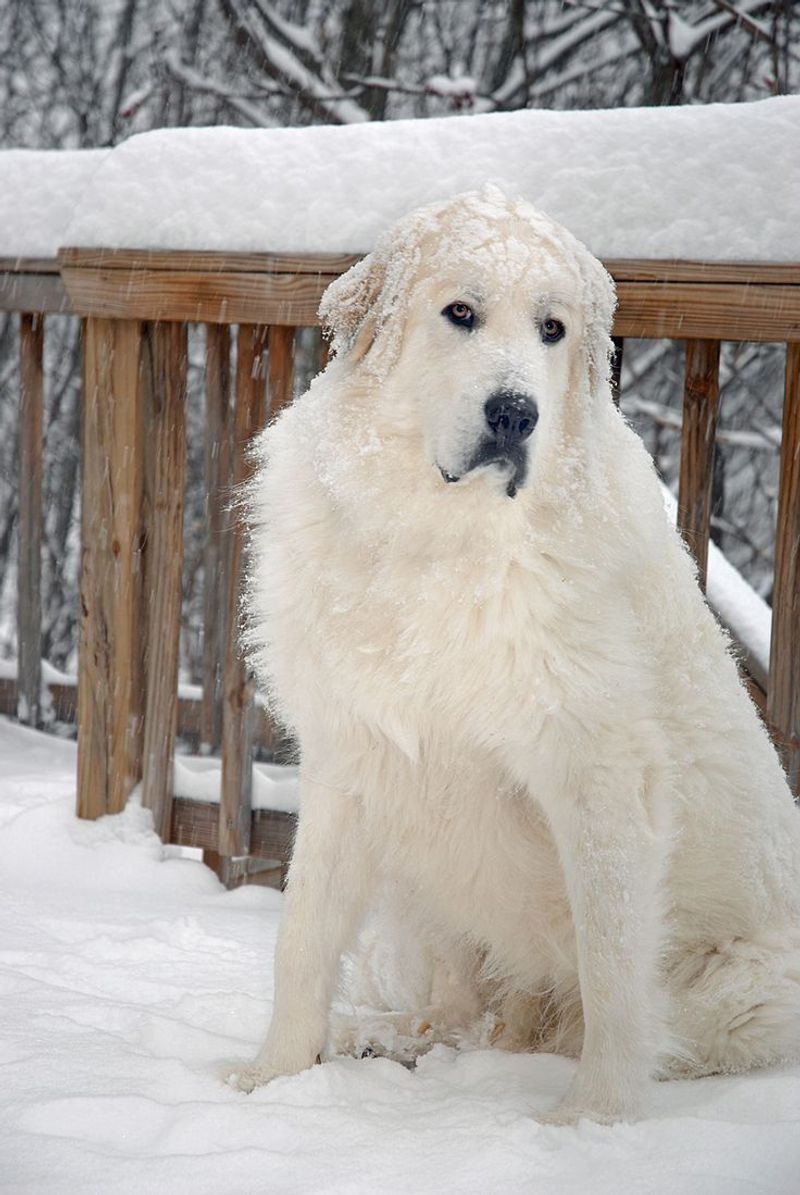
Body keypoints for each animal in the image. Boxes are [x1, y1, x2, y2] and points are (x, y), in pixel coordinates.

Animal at [235, 184, 798, 1118]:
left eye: (553, 329)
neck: (443, 541)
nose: (516, 413)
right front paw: (271, 1076)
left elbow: (612, 971)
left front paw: (592, 1121)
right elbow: (301, 938)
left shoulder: (601, 778)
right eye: (461, 313)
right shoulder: (352, 758)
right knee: (464, 1010)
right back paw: (388, 1038)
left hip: (745, 985)